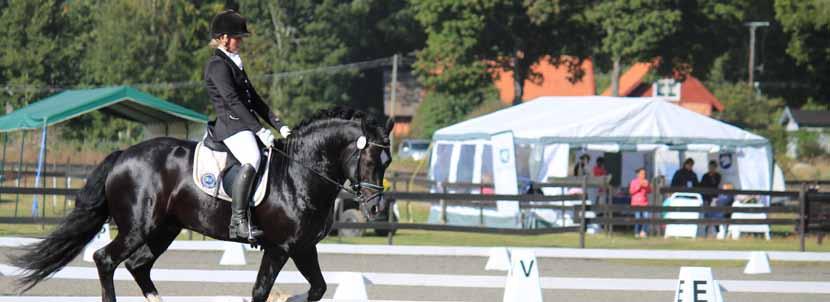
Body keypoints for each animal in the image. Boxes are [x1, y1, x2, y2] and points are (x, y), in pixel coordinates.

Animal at [9, 108, 394, 302]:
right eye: (369, 160)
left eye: (388, 161)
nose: (376, 210)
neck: (299, 173)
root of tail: (124, 155)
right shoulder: (282, 247)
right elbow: (265, 291)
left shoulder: (301, 247)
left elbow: (316, 289)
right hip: (138, 226)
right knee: (106, 259)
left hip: (164, 229)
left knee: (138, 265)